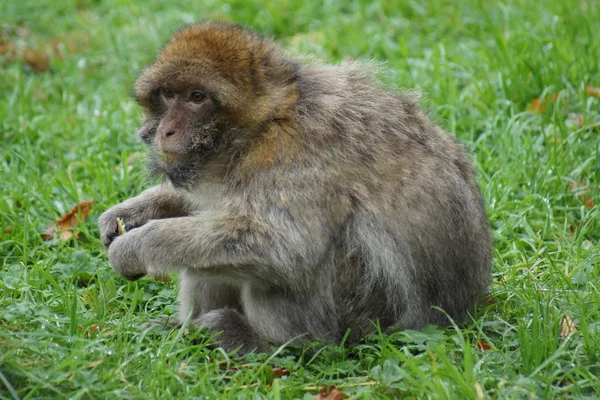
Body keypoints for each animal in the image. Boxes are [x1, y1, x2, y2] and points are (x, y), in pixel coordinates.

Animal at [99, 21, 492, 354]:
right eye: (168, 95)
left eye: (197, 97)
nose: (167, 130)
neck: (263, 126)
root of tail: (459, 311)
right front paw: (131, 212)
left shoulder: (292, 155)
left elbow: (283, 248)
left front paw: (136, 246)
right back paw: (185, 331)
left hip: (357, 315)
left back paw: (271, 344)